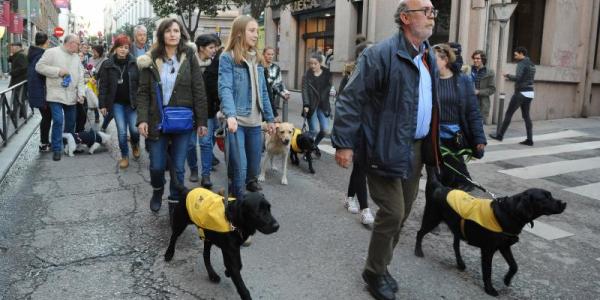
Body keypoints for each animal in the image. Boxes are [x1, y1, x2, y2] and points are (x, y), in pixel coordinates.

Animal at [414, 168, 564, 296]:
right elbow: (488, 270)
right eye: (545, 197)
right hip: (432, 218)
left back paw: (460, 263)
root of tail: (439, 186)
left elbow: (514, 265)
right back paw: (418, 251)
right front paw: (489, 289)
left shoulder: (504, 246)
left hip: (456, 227)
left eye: (550, 195)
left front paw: (507, 280)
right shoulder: (488, 249)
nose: (564, 203)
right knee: (419, 233)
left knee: (455, 245)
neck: (510, 212)